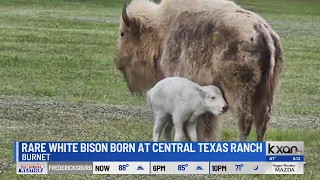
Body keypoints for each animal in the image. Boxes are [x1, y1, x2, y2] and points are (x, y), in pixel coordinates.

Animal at [114, 0, 284, 141]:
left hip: (239, 92)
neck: (162, 29)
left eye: (123, 34)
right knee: (261, 122)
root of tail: (263, 31)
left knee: (245, 121)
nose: (116, 61)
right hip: (265, 92)